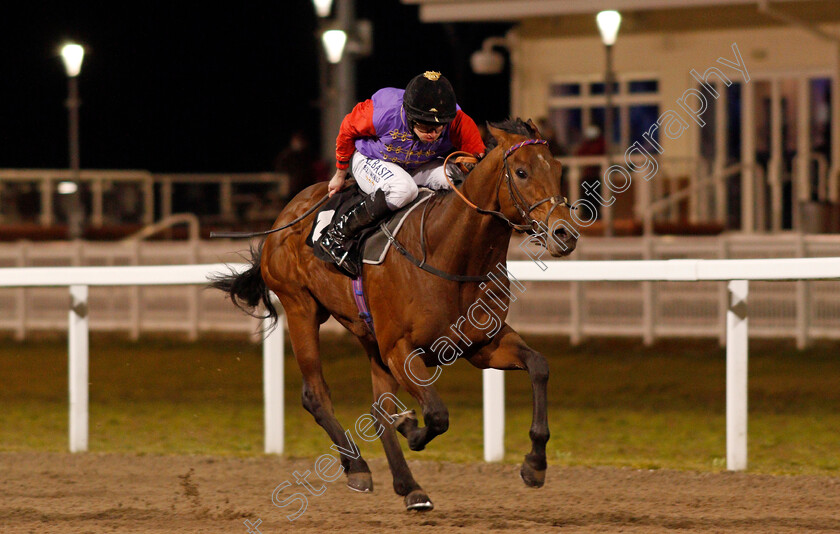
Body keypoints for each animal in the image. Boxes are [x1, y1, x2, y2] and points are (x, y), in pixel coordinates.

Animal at [212, 119, 576, 512]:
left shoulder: (483, 345)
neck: (450, 254)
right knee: (317, 395)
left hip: (369, 336)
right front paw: (410, 428)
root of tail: (286, 213)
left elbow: (539, 365)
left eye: (558, 169)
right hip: (301, 308)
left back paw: (408, 485)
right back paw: (358, 467)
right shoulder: (401, 349)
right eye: (521, 172)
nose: (564, 234)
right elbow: (436, 414)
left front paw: (535, 463)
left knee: (377, 409)